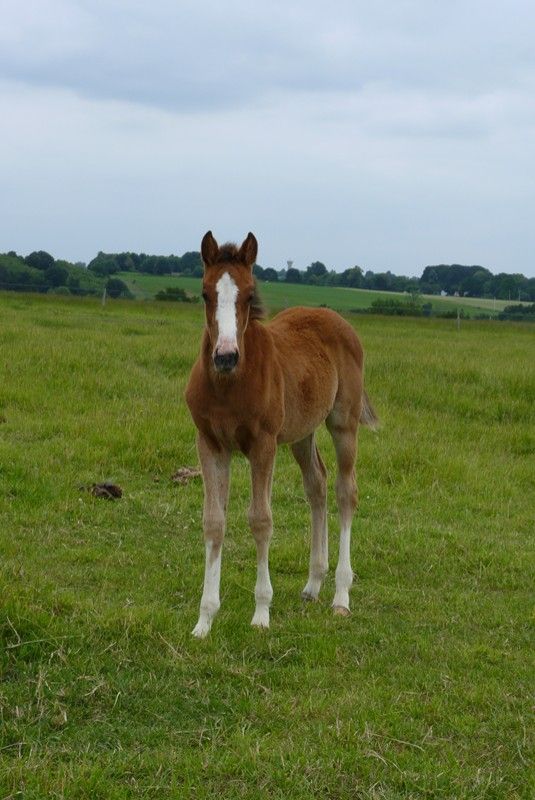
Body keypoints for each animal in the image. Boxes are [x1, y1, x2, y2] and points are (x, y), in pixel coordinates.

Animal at [185, 231, 377, 638]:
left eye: (248, 294)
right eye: (206, 294)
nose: (226, 355)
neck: (229, 384)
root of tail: (334, 318)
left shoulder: (263, 445)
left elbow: (261, 521)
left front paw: (261, 613)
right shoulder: (210, 443)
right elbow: (213, 522)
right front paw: (204, 620)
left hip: (343, 423)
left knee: (345, 491)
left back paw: (341, 596)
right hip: (302, 432)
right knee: (317, 486)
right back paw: (313, 584)